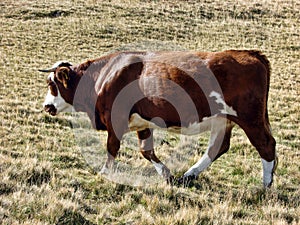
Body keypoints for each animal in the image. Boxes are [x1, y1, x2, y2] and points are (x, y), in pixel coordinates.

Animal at [39, 50, 276, 187]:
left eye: (52, 83)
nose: (46, 106)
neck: (105, 75)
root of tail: (252, 54)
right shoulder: (142, 123)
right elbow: (147, 151)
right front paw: (167, 175)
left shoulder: (115, 120)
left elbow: (112, 148)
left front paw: (105, 172)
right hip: (223, 120)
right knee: (217, 148)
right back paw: (189, 175)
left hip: (250, 119)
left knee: (266, 145)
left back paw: (265, 184)